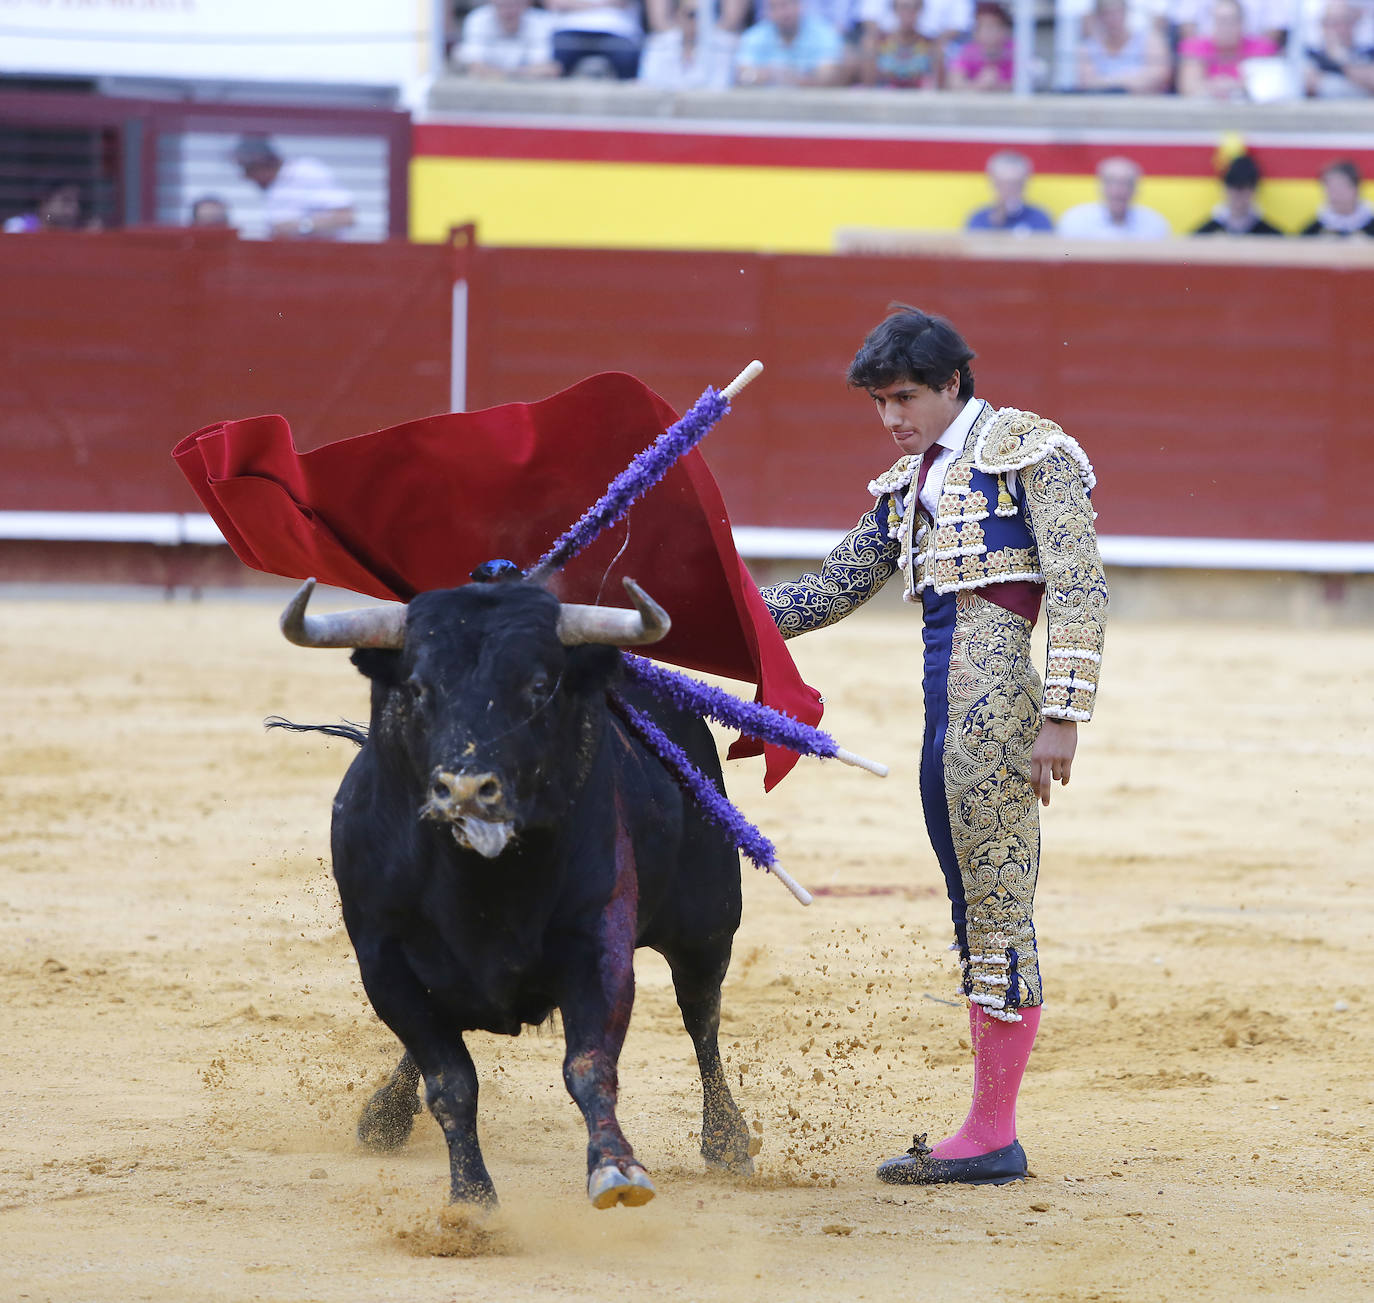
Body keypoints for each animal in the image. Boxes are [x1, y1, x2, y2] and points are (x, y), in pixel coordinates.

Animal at [276, 580, 752, 1209]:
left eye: (538, 687)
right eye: (418, 688)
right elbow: (451, 1082)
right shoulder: (384, 964)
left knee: (702, 1018)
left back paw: (728, 1142)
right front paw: (471, 1201)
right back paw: (383, 1119)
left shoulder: (599, 941)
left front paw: (616, 1168)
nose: (465, 790)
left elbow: (590, 1063)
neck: (482, 883)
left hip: (707, 925)